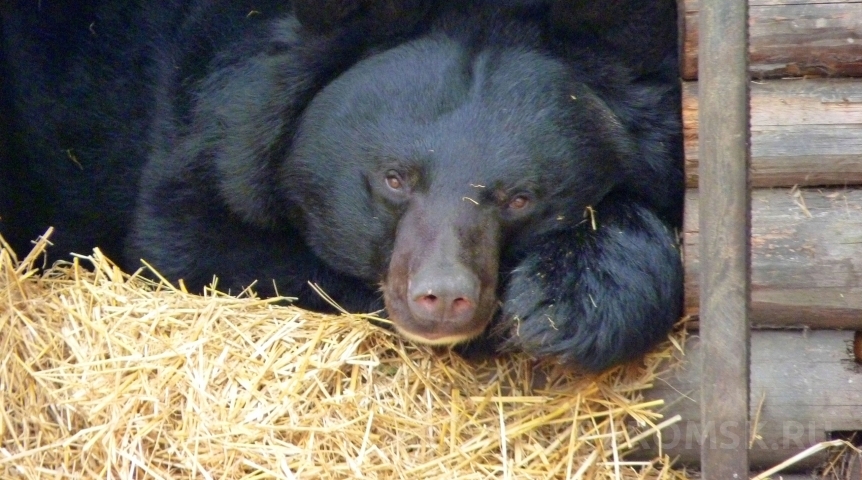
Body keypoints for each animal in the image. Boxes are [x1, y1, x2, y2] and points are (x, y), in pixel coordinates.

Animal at [1, 0, 688, 372]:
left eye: (520, 198)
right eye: (394, 179)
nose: (444, 299)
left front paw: (569, 304)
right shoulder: (201, 130)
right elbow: (192, 244)